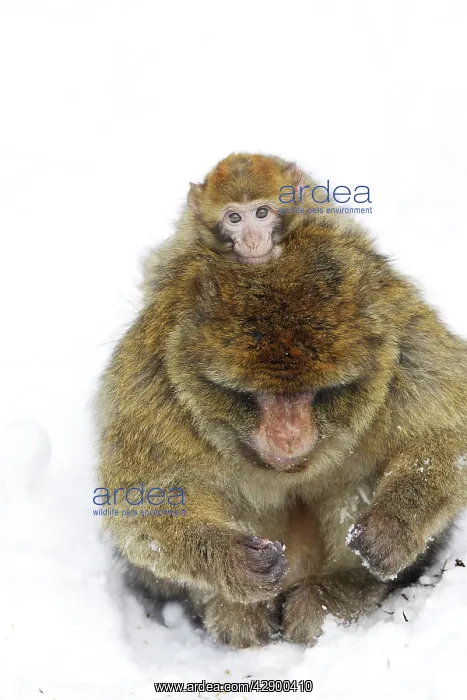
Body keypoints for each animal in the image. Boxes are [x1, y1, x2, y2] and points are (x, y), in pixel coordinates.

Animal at [96, 202, 467, 649]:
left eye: (315, 393)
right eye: (256, 396)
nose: (289, 436)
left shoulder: (404, 351)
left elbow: (446, 430)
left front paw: (391, 525)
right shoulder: (155, 389)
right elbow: (143, 503)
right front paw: (231, 560)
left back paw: (336, 594)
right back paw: (236, 610)